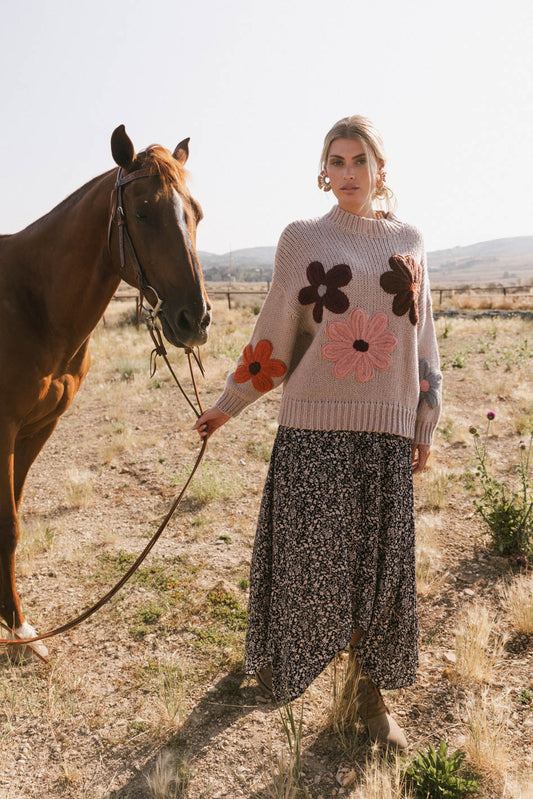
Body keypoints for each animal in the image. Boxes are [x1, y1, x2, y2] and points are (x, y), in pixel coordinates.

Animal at [0, 125, 211, 656]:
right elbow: (8, 525)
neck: (28, 300)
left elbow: (12, 517)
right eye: (142, 213)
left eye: (196, 212)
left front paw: (15, 624)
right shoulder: (3, 431)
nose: (195, 319)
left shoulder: (37, 429)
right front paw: (19, 628)